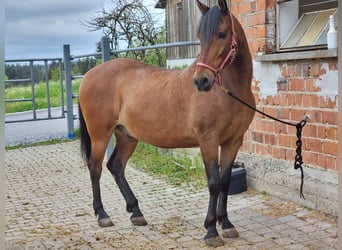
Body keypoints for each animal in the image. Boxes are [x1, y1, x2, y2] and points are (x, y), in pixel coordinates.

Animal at [78, 0, 254, 246]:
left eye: (222, 34)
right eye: (200, 36)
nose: (201, 81)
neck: (228, 90)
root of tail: (88, 75)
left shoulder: (233, 141)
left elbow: (226, 181)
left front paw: (226, 224)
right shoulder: (208, 140)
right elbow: (214, 183)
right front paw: (211, 230)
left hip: (126, 136)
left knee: (116, 166)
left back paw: (136, 212)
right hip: (100, 135)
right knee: (95, 168)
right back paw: (103, 215)